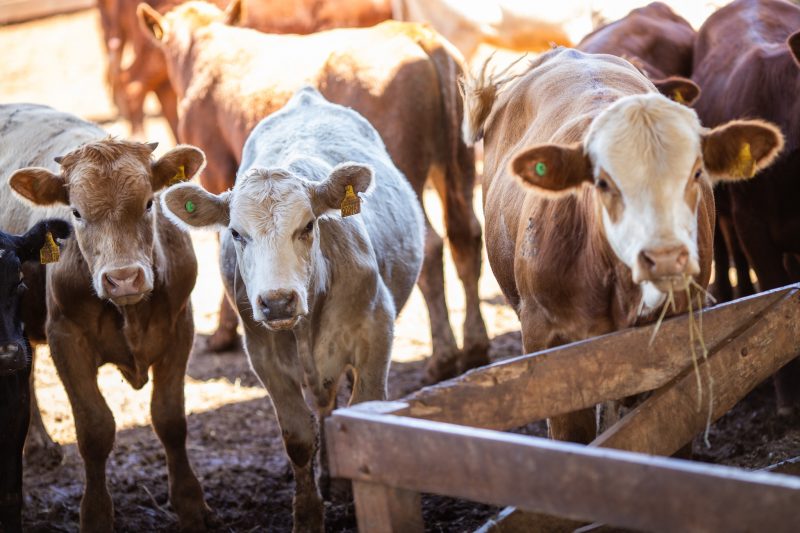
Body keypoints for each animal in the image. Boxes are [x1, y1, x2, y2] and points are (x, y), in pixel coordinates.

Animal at [0, 103, 209, 532]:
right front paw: (95, 514)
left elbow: (170, 420)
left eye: (149, 203)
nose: (124, 278)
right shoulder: (66, 339)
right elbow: (95, 430)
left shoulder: (180, 327)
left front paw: (190, 505)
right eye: (77, 213)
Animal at [138, 0, 490, 381]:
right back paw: (475, 346)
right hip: (459, 163)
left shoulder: (216, 168)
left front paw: (223, 333)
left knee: (432, 246)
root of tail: (418, 36)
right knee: (466, 237)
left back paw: (443, 357)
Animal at [161, 87, 424, 532]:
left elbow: (362, 416)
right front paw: (308, 515)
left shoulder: (375, 335)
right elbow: (299, 438)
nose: (278, 300)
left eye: (308, 226)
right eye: (236, 233)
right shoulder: (264, 356)